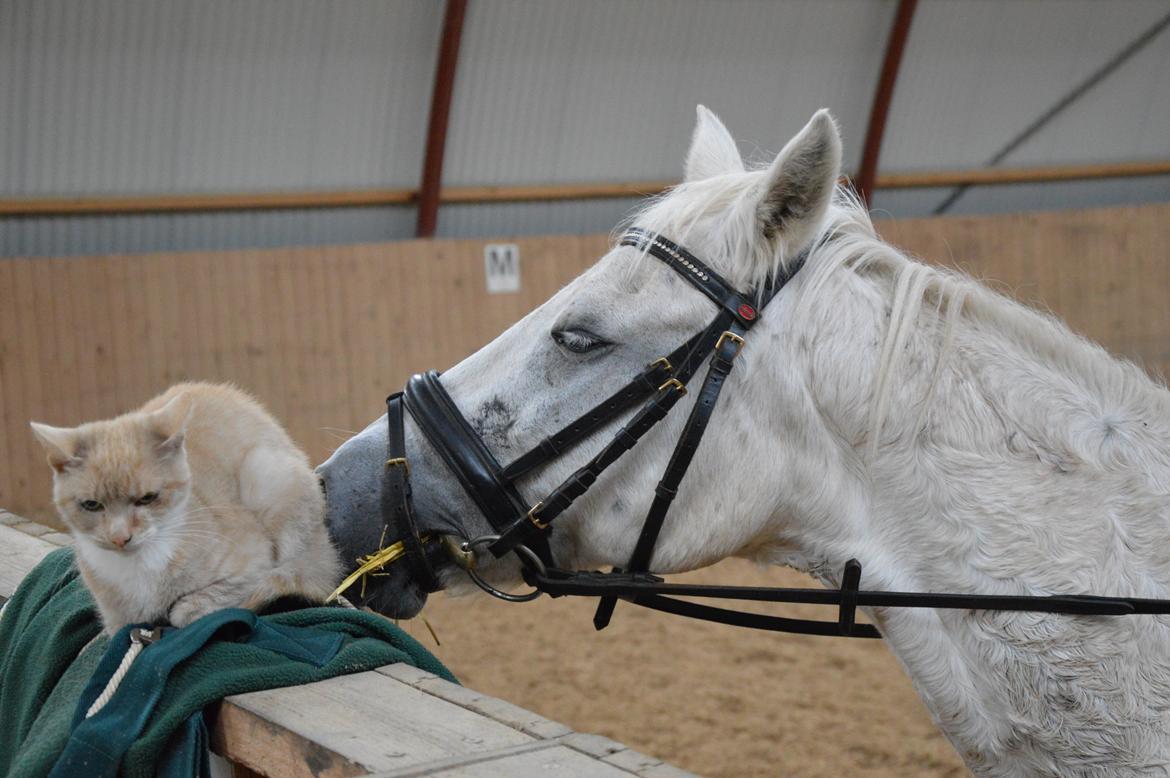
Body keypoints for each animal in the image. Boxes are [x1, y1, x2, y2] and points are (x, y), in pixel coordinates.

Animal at [29, 381, 341, 631]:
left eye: (147, 497)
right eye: (91, 505)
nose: (120, 537)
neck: (141, 565)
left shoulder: (253, 563)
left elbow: (195, 607)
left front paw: (188, 610)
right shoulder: (119, 620)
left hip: (268, 475)